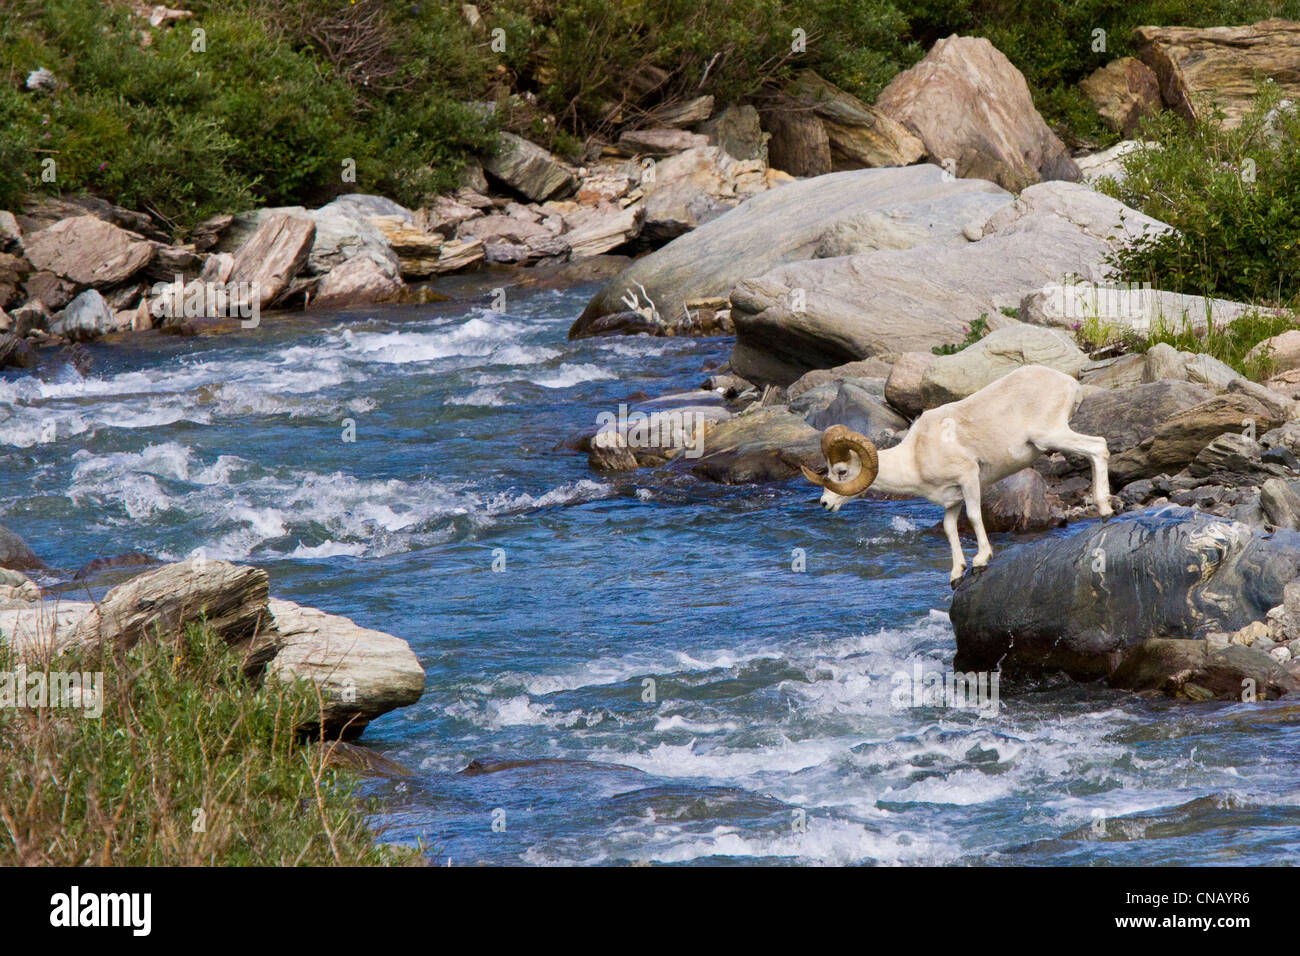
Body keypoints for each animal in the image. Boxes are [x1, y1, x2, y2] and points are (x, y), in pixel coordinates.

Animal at [801, 365, 1112, 585]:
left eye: (841, 472)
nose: (825, 504)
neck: (914, 457)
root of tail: (1069, 383)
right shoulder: (952, 501)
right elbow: (951, 529)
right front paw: (956, 574)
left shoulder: (969, 478)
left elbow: (974, 517)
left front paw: (981, 560)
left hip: (1051, 436)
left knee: (1098, 447)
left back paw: (1105, 510)